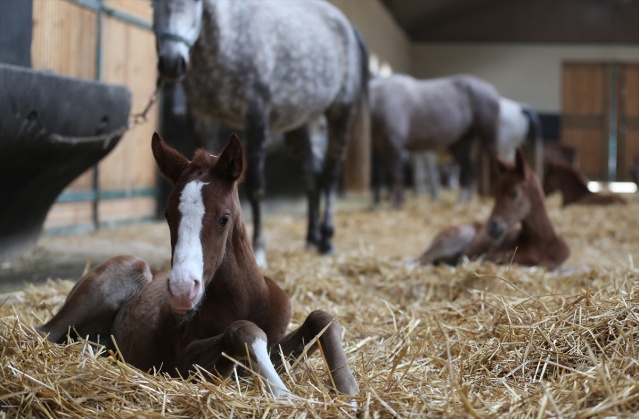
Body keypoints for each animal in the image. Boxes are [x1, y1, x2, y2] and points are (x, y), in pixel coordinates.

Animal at [37, 135, 360, 400]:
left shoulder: (276, 346)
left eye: (224, 218)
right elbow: (242, 329)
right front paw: (282, 394)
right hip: (123, 272)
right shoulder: (185, 360)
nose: (182, 290)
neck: (245, 298)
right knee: (44, 333)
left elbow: (322, 319)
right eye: (167, 215)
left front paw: (349, 393)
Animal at [152, 0, 368, 268]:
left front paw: (259, 249)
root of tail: (348, 26)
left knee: (329, 175)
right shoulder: (203, 119)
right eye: (152, 4)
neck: (228, 36)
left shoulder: (255, 118)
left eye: (194, 2)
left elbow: (255, 187)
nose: (171, 63)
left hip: (340, 114)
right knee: (312, 177)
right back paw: (311, 239)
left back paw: (326, 240)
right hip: (301, 127)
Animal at [372, 74, 502, 209]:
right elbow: (385, 177)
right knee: (470, 172)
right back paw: (463, 202)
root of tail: (491, 89)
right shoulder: (381, 148)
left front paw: (396, 206)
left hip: (488, 140)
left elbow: (396, 176)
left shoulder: (394, 147)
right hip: (461, 145)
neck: (380, 99)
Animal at [416, 149, 568, 270]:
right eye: (496, 193)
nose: (492, 227)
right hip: (459, 237)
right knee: (423, 258)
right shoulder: (493, 256)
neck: (540, 242)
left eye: (514, 193)